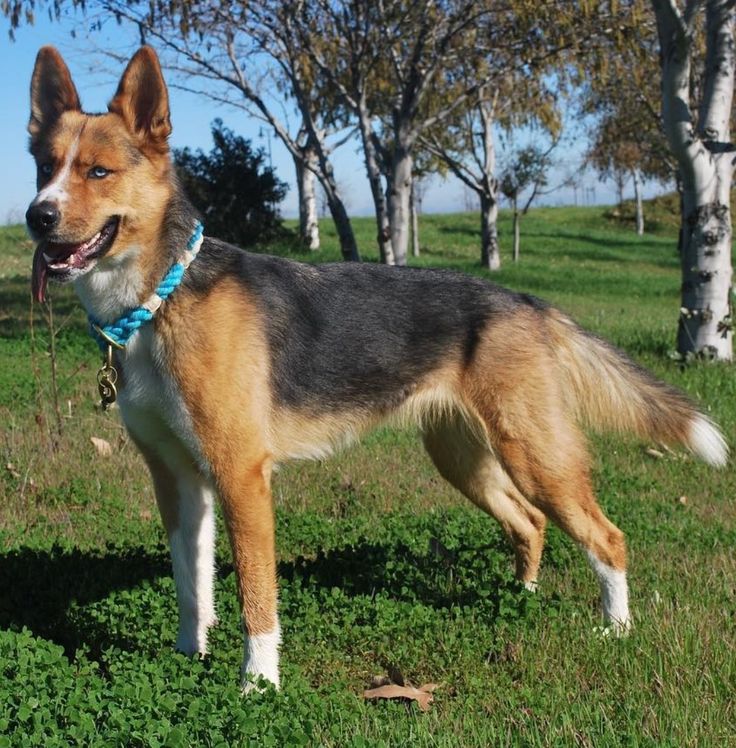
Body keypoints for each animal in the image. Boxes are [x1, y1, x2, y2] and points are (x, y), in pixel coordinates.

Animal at [25, 45, 728, 688]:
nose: (36, 216)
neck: (158, 301)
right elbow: (191, 584)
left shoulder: (242, 478)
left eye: (98, 171)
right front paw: (187, 658)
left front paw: (258, 684)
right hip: (463, 457)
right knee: (528, 525)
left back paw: (616, 628)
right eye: (42, 166)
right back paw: (519, 599)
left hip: (537, 455)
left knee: (607, 539)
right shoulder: (178, 479)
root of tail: (526, 302)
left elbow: (256, 596)